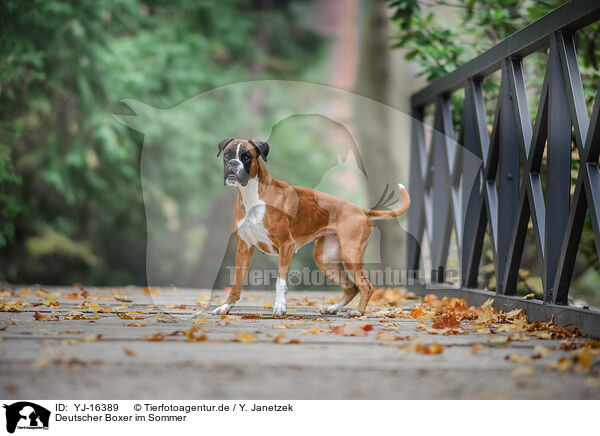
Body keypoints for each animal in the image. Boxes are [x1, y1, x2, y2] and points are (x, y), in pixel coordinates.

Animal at [212, 138, 412, 316]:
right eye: (227, 155)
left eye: (246, 156)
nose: (232, 164)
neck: (253, 195)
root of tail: (359, 210)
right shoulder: (244, 249)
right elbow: (236, 283)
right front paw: (226, 306)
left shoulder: (286, 245)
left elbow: (280, 281)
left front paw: (280, 306)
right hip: (325, 260)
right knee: (351, 288)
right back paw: (332, 308)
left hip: (351, 254)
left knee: (366, 286)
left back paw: (358, 311)